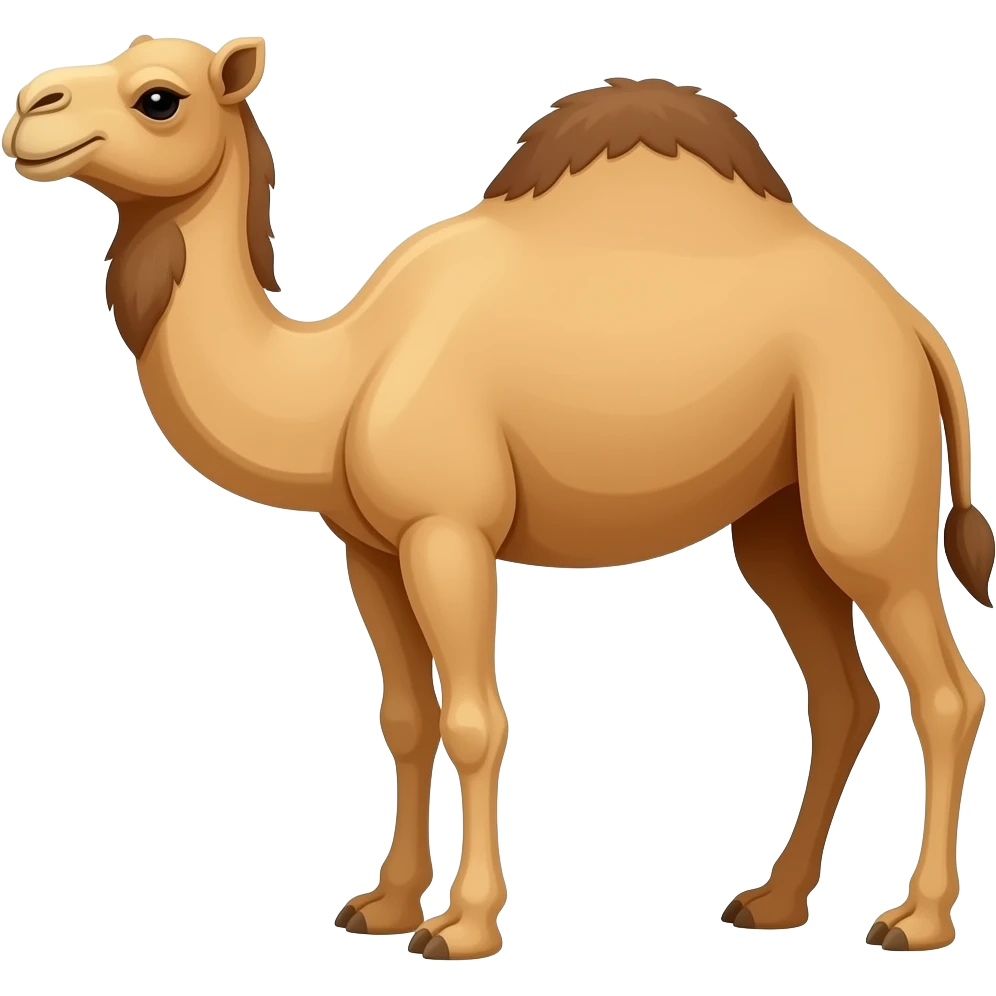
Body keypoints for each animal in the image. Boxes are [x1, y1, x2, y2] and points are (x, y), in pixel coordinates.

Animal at [4, 35, 992, 959]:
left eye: (159, 98)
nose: (28, 108)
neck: (340, 376)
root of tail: (912, 324)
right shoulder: (371, 549)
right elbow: (406, 720)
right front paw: (383, 906)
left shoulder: (449, 531)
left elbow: (477, 720)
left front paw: (461, 927)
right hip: (776, 520)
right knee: (840, 695)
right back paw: (773, 903)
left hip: (864, 492)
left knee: (946, 690)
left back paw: (916, 919)